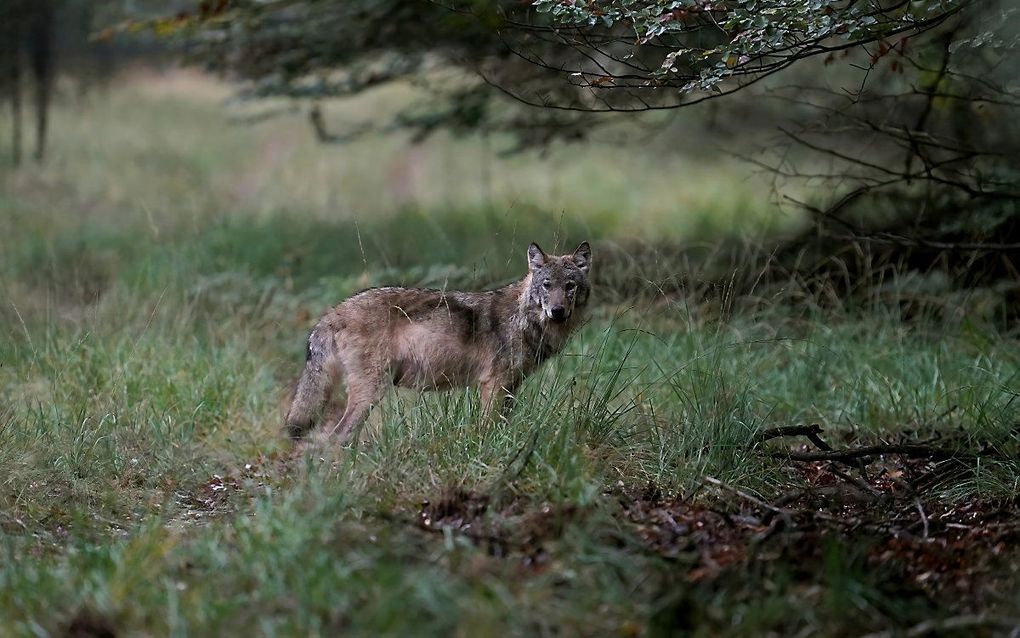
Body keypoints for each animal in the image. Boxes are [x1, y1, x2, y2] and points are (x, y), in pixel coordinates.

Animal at [283, 239, 595, 443]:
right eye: (546, 286)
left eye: (570, 286)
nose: (557, 312)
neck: (524, 319)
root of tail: (334, 311)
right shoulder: (493, 384)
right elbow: (487, 428)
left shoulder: (510, 387)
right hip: (371, 392)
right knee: (337, 437)